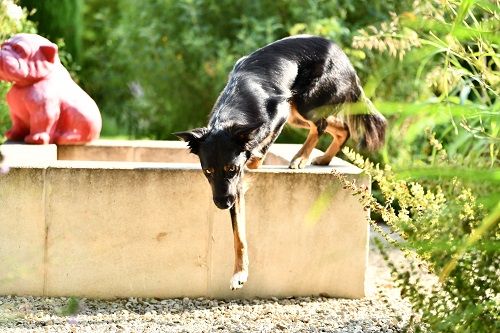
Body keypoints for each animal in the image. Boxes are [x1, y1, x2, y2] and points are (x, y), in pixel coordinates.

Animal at [176, 33, 386, 288]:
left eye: (232, 168)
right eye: (207, 172)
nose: (222, 204)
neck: (231, 114)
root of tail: (342, 55)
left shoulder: (278, 117)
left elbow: (259, 152)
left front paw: (256, 162)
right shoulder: (232, 188)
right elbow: (239, 235)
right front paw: (240, 272)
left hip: (303, 105)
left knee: (321, 124)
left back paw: (301, 158)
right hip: (297, 112)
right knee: (341, 127)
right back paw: (324, 158)